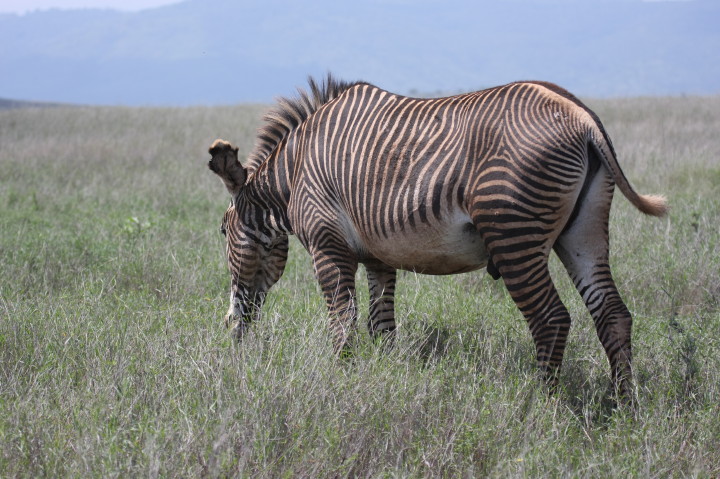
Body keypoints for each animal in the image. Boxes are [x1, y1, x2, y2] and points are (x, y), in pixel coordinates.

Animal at [206, 74, 667, 395]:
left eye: (222, 230)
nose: (233, 327)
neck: (295, 170)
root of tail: (581, 116)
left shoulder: (328, 247)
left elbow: (342, 321)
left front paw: (340, 377)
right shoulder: (377, 257)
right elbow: (381, 325)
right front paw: (383, 377)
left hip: (513, 232)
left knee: (551, 319)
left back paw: (540, 404)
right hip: (583, 232)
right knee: (613, 314)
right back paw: (622, 404)